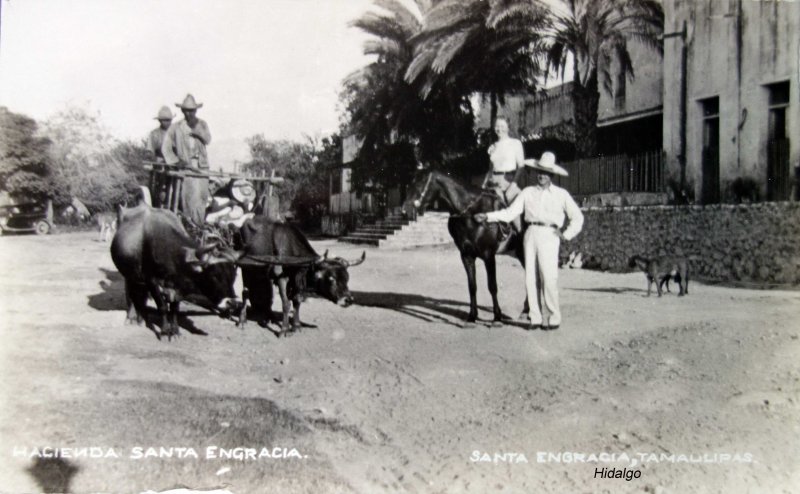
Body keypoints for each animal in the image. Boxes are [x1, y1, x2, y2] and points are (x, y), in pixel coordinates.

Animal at [404, 170, 528, 324]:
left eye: (420, 183)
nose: (405, 210)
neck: (472, 215)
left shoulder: (489, 256)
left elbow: (492, 286)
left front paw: (497, 316)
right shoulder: (466, 256)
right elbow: (472, 286)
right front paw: (472, 316)